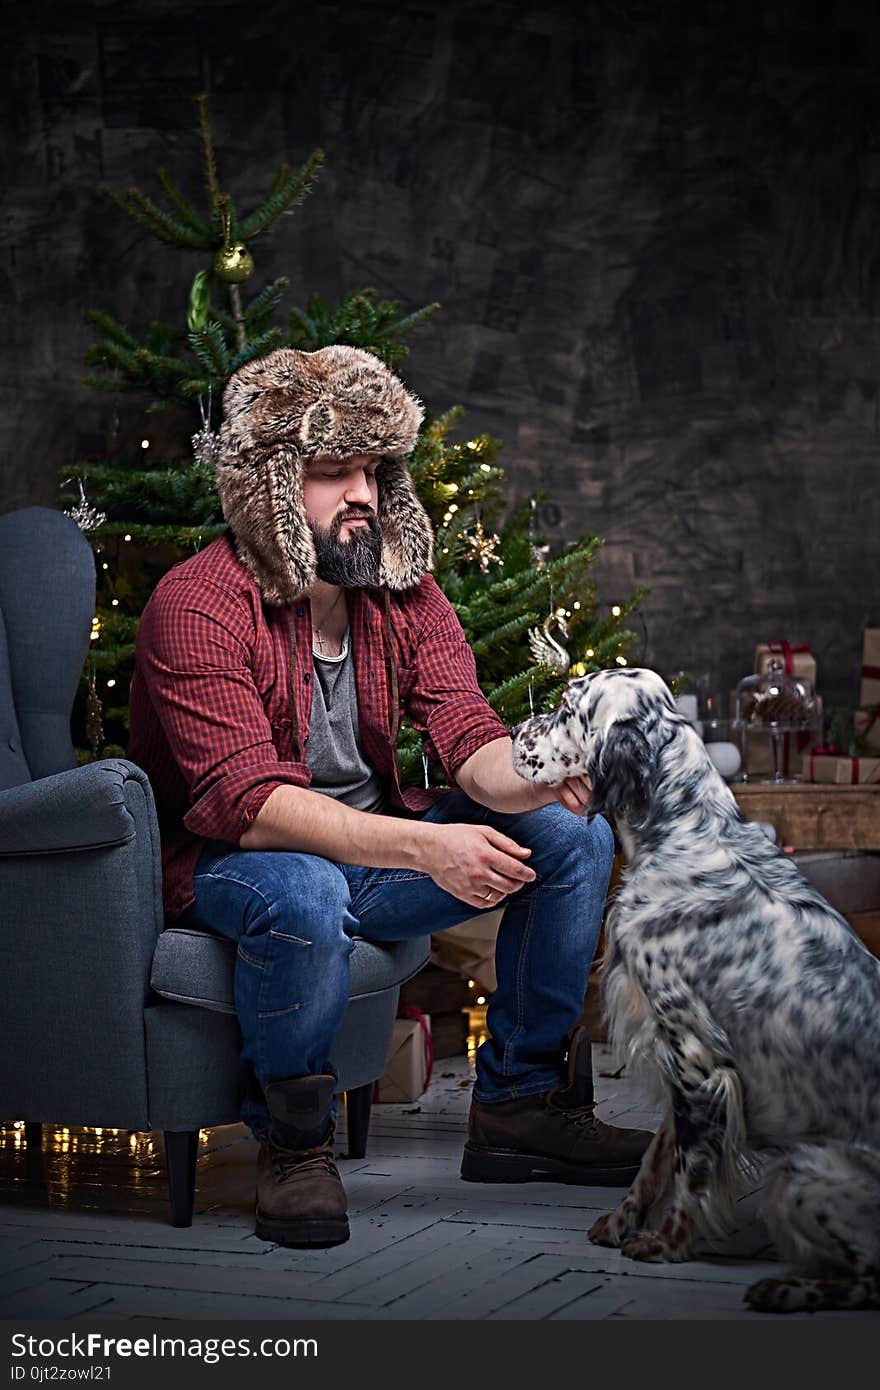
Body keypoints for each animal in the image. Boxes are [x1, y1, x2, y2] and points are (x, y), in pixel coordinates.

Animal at [508, 667, 878, 1317]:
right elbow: (658, 1156)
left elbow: (691, 1166)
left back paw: (786, 1288)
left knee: (871, 1277)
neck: (686, 836)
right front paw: (622, 1223)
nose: (509, 734)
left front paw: (665, 1243)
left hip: (801, 1174)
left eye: (567, 709)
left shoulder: (697, 1058)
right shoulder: (680, 1057)